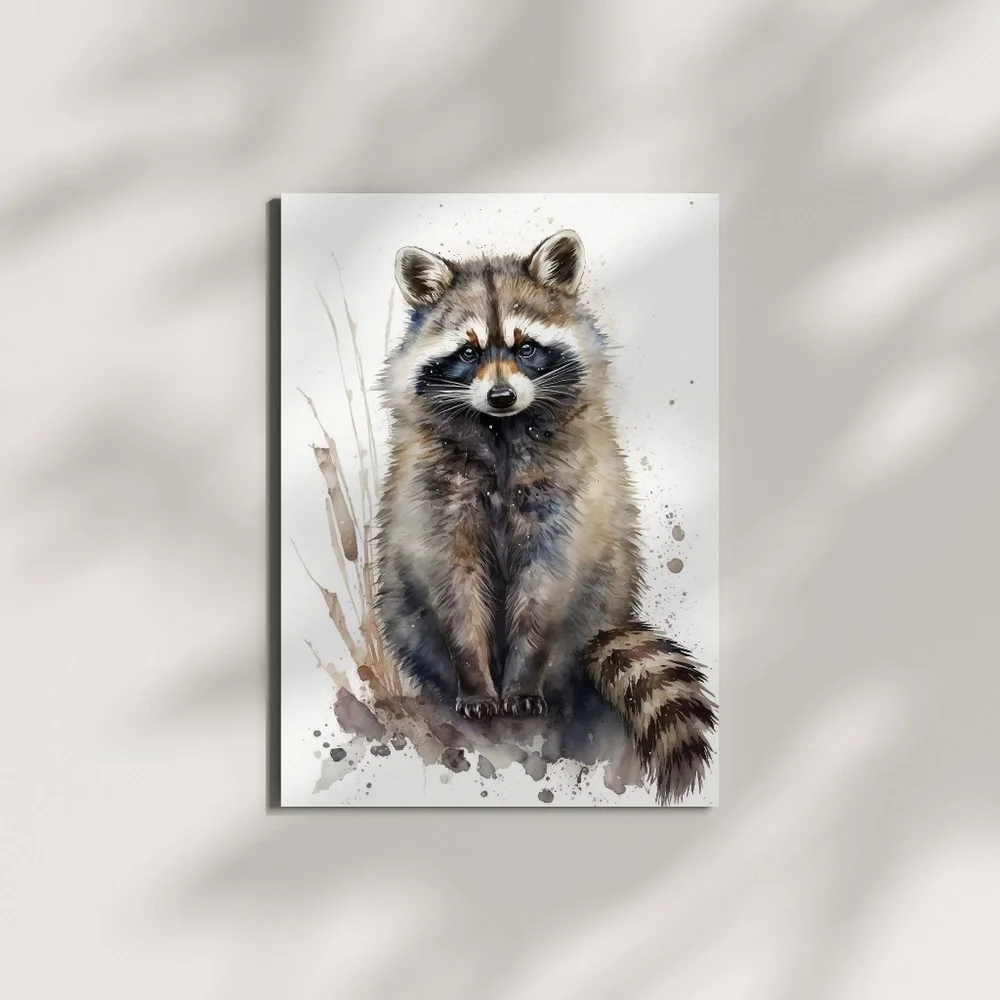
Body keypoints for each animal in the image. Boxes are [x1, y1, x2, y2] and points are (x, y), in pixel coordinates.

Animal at [373, 229, 717, 803]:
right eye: (468, 352)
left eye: (526, 347)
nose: (501, 395)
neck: (500, 431)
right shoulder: (439, 496)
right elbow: (454, 584)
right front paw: (475, 681)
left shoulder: (563, 494)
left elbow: (545, 585)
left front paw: (522, 681)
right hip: (401, 607)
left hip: (600, 595)